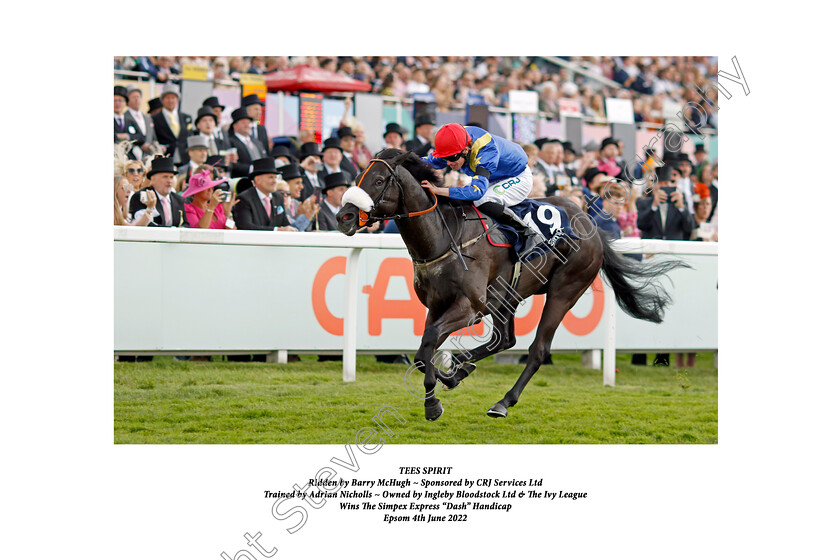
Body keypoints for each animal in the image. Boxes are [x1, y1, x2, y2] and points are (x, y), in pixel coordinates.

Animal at [338, 149, 684, 420]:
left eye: (378, 181)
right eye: (358, 177)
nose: (344, 217)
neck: (442, 236)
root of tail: (591, 224)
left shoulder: (469, 306)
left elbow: (430, 344)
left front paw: (434, 403)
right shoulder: (437, 304)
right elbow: (425, 351)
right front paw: (445, 382)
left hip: (564, 290)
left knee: (536, 350)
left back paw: (502, 402)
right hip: (507, 294)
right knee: (504, 339)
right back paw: (461, 368)